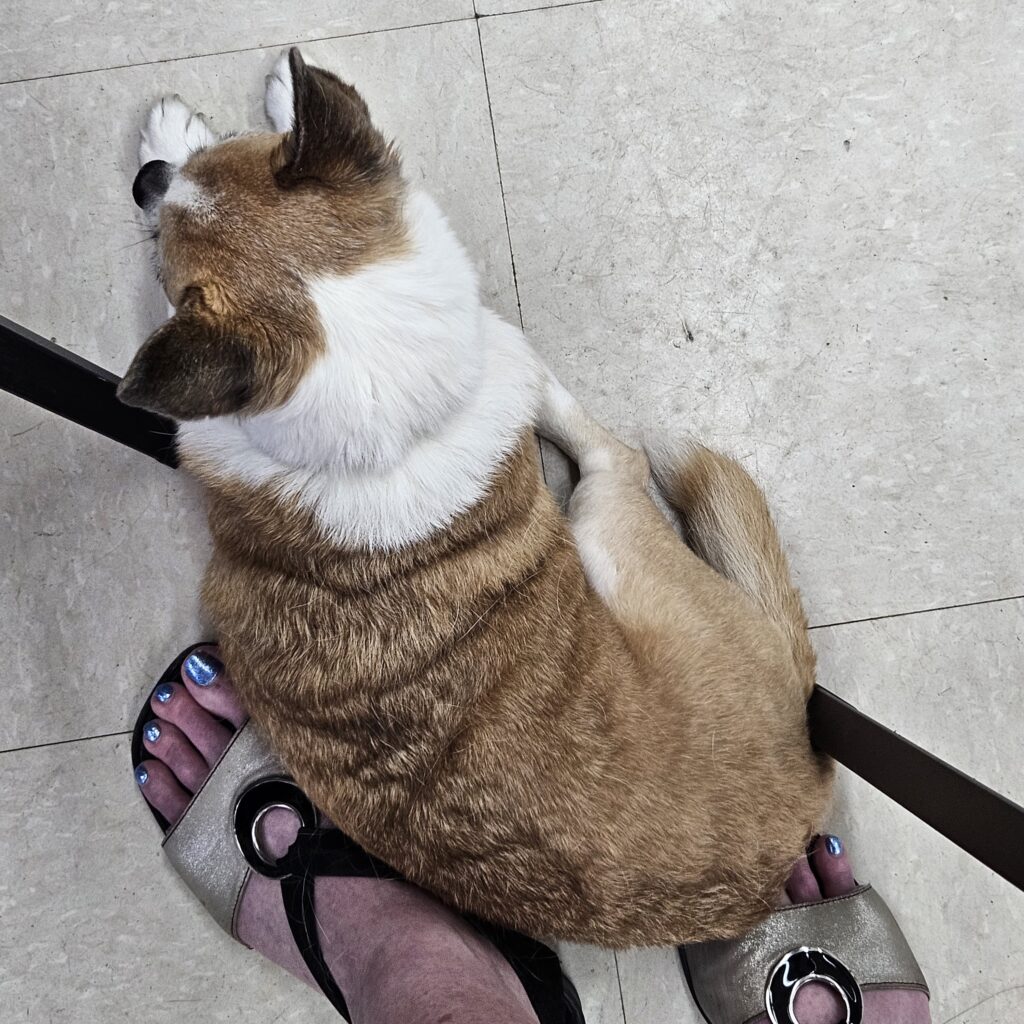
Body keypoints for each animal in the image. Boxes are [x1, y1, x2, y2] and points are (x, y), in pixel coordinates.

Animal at [117, 48, 831, 942]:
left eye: (167, 272)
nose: (145, 181)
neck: (399, 416)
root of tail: (803, 791)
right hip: (601, 529)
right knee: (612, 453)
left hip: (602, 530)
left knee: (618, 454)